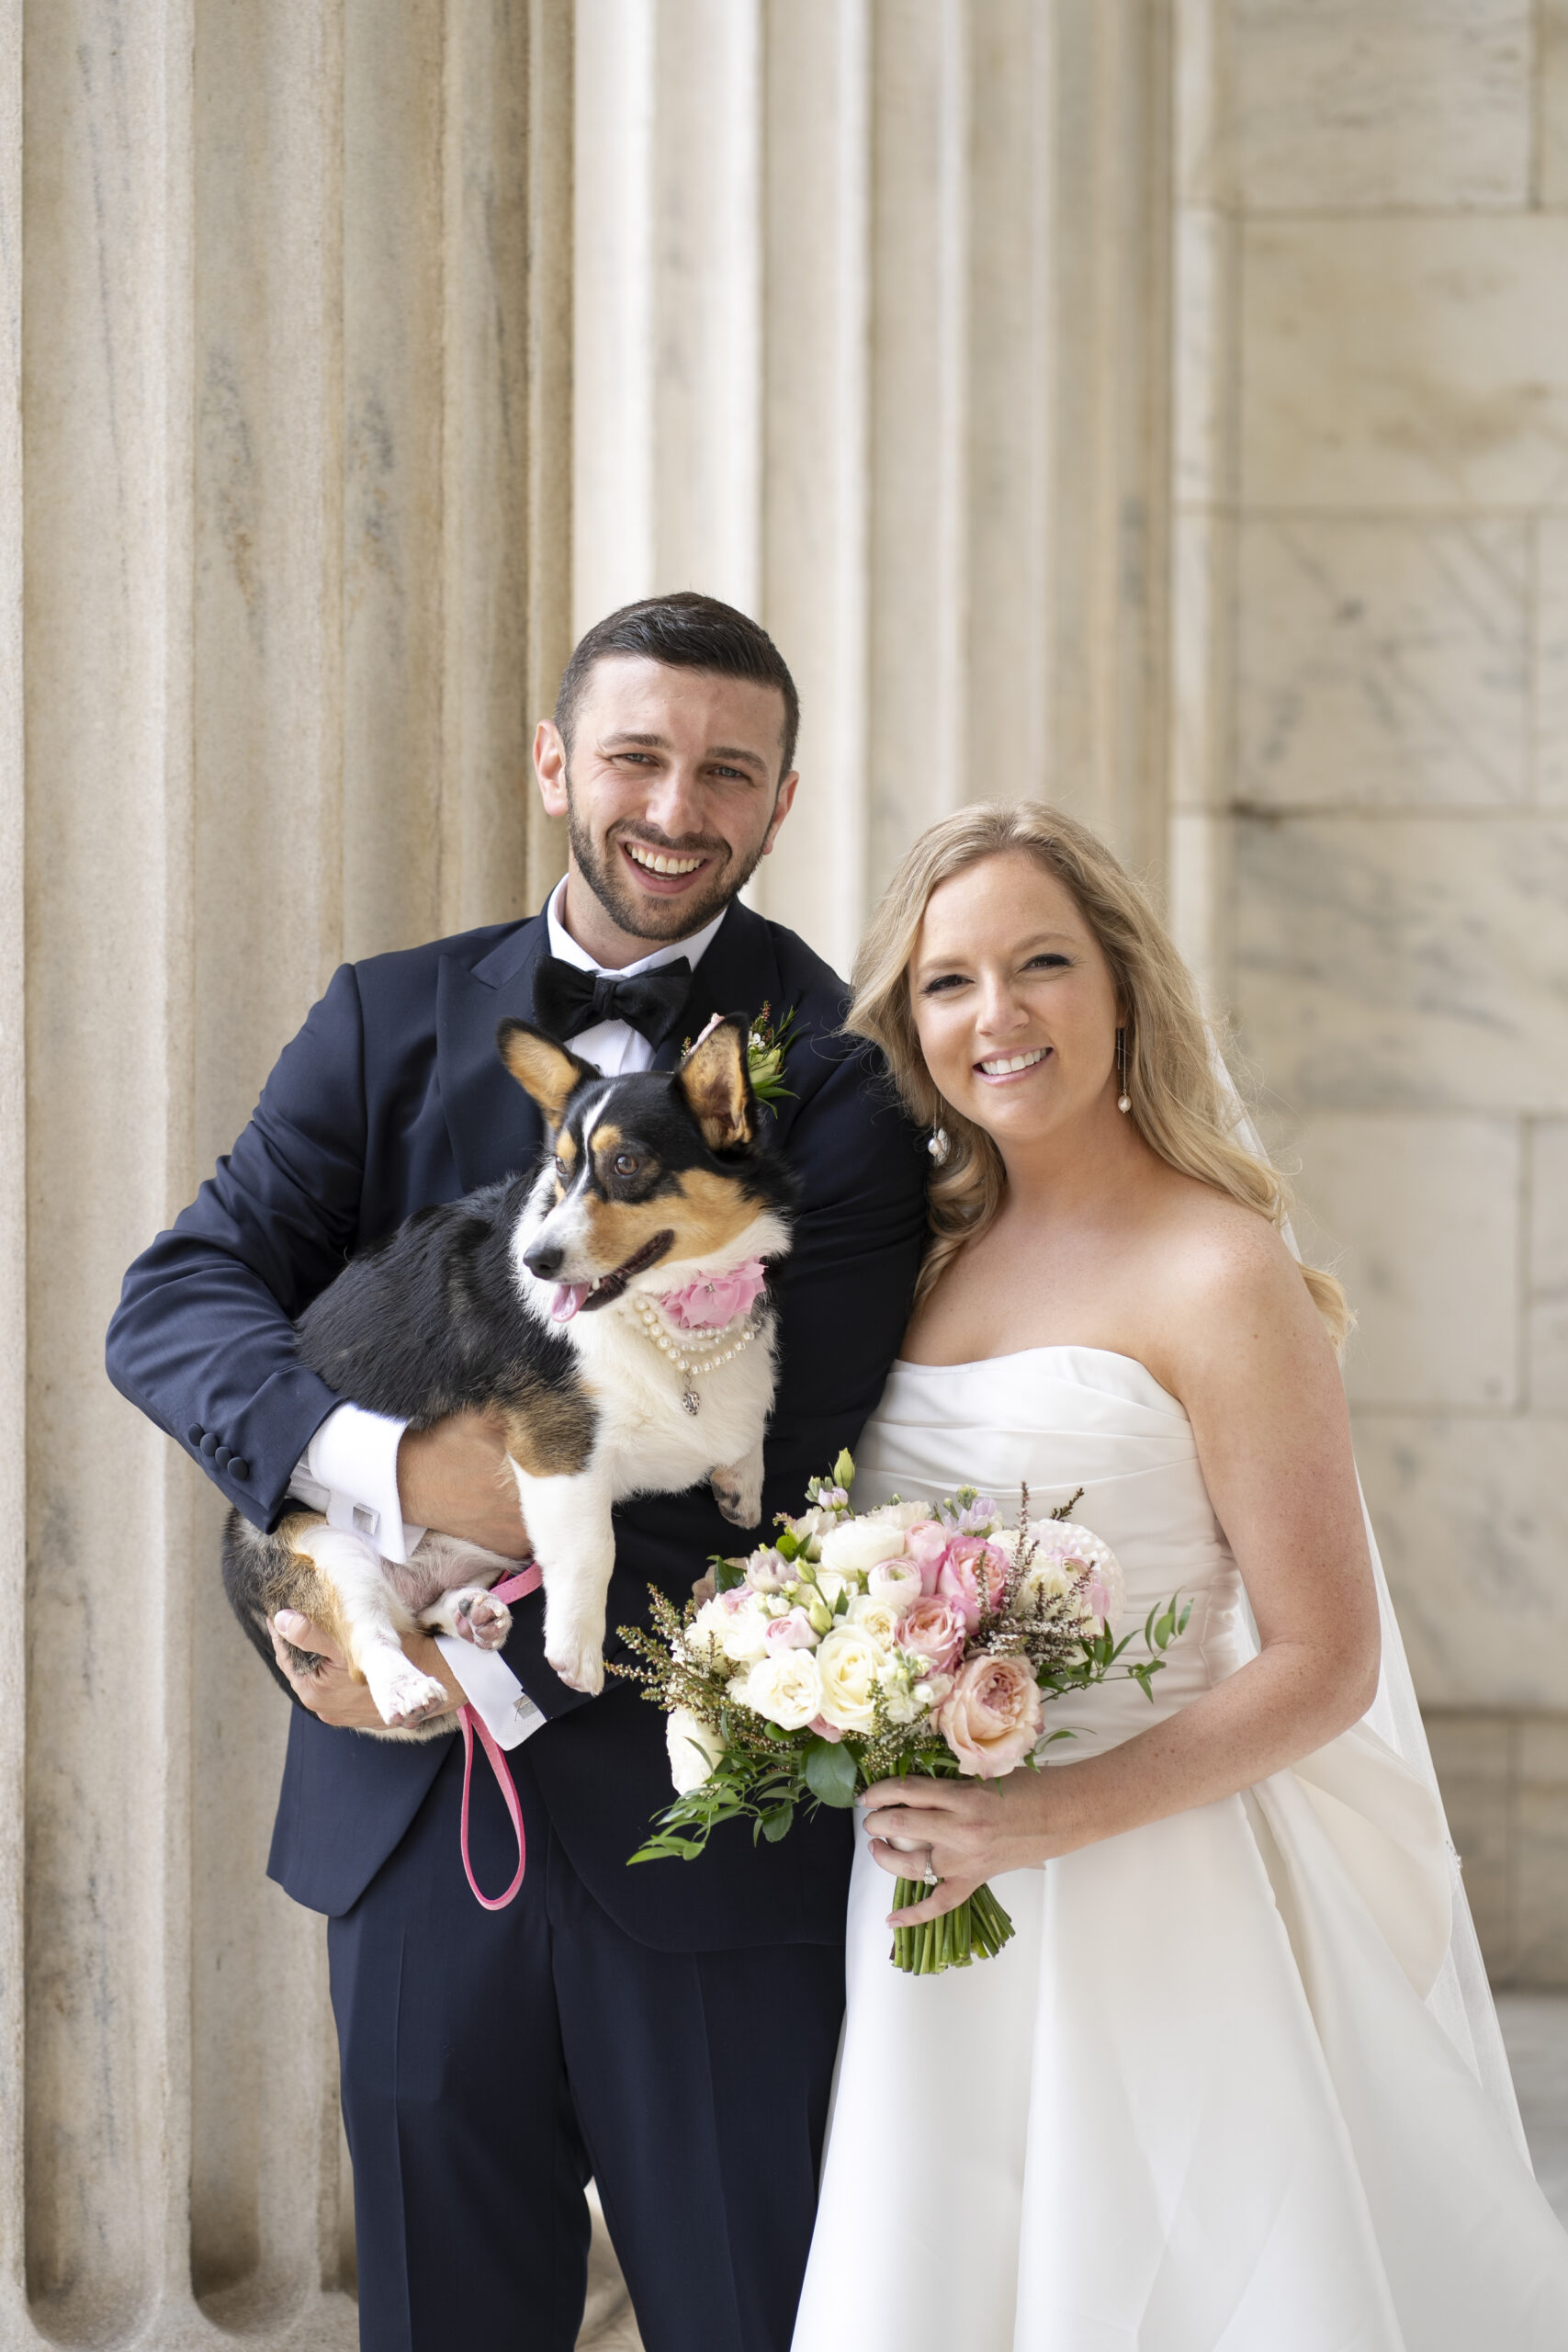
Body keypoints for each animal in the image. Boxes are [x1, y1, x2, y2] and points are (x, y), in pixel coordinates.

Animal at [220, 1011, 799, 1731]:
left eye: (626, 1164)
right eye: (562, 1168)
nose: (536, 1262)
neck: (672, 1310)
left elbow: (749, 1411)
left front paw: (740, 1484)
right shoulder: (557, 1452)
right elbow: (592, 1548)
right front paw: (576, 1650)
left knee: (418, 1616)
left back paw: (473, 1615)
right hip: (320, 1544)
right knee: (371, 1631)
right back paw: (406, 1686)